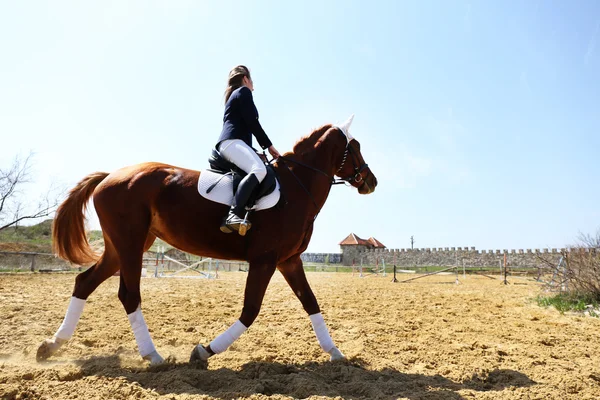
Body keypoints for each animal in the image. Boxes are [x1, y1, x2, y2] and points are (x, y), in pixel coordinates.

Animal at [36, 115, 376, 366]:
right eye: (356, 147)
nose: (371, 181)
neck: (296, 187)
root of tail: (109, 176)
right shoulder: (264, 260)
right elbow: (250, 311)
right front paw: (204, 351)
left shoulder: (288, 261)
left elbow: (311, 303)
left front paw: (336, 352)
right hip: (130, 245)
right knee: (128, 295)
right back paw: (153, 356)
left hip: (122, 247)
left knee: (84, 282)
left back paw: (52, 345)